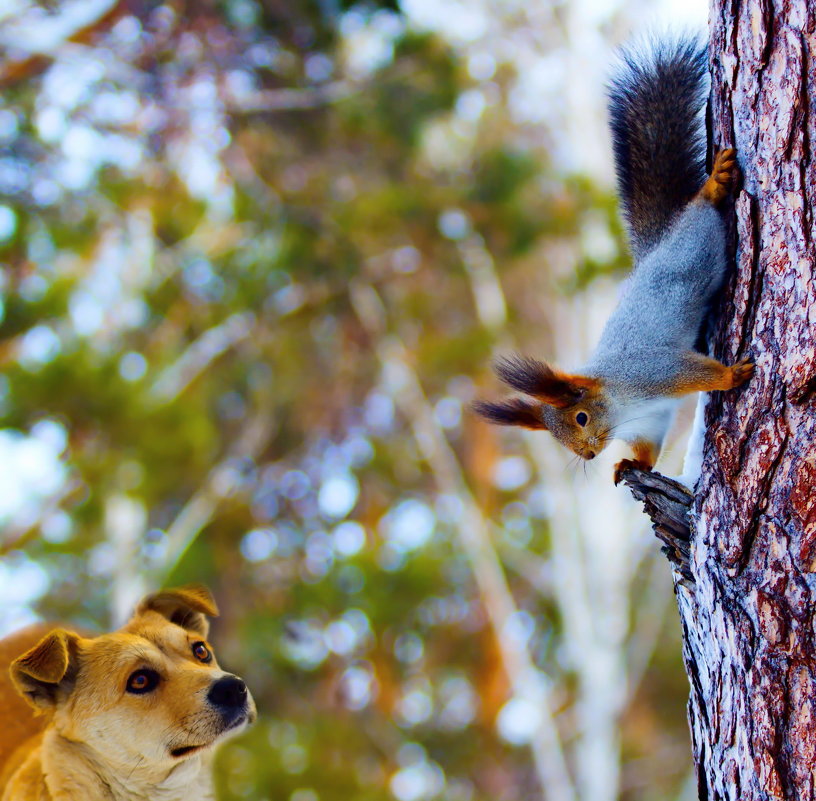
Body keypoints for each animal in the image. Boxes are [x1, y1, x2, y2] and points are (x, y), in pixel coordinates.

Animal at [478, 37, 752, 484]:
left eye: (581, 418)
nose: (588, 455)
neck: (621, 402)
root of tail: (657, 246)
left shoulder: (654, 372)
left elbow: (695, 372)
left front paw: (731, 375)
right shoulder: (651, 421)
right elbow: (647, 447)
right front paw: (631, 463)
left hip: (696, 247)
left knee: (700, 215)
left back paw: (713, 186)